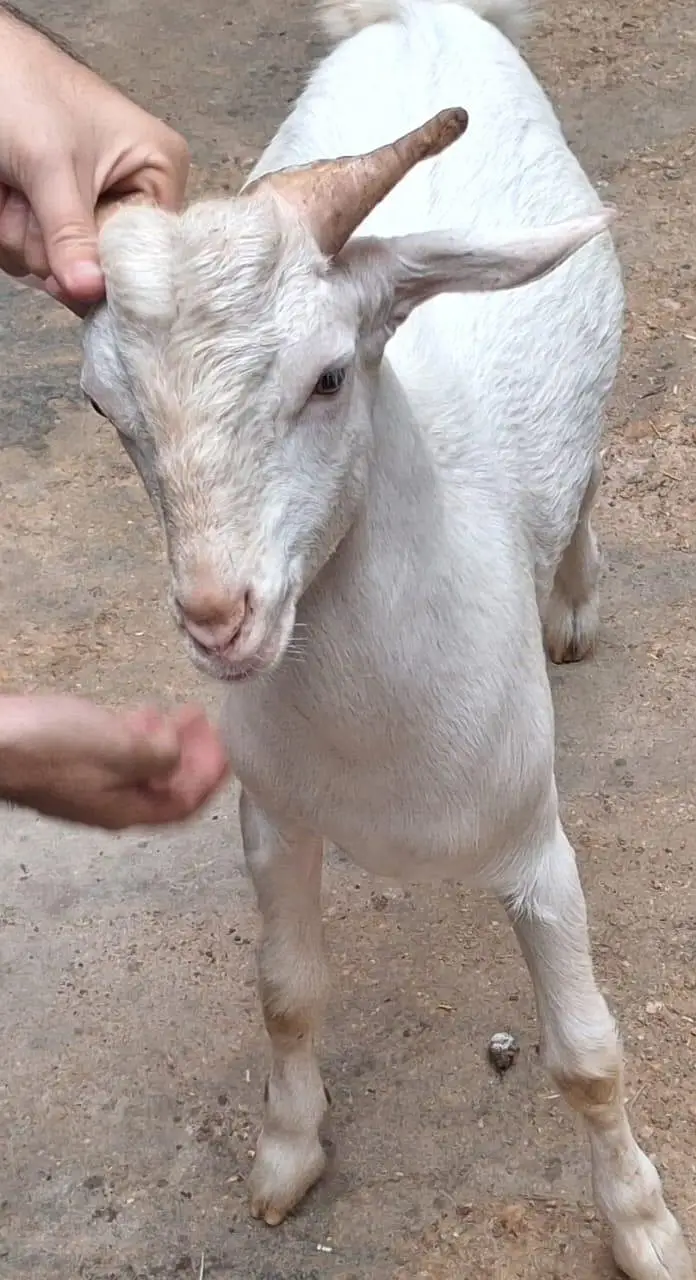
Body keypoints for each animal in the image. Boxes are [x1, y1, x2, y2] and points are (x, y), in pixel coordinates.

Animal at [80, 0, 692, 1274]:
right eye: (104, 407)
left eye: (327, 377)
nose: (219, 616)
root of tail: (419, 16)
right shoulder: (276, 819)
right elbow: (286, 990)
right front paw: (286, 1156)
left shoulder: (536, 849)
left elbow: (588, 1055)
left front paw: (645, 1224)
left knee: (587, 475)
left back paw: (574, 603)